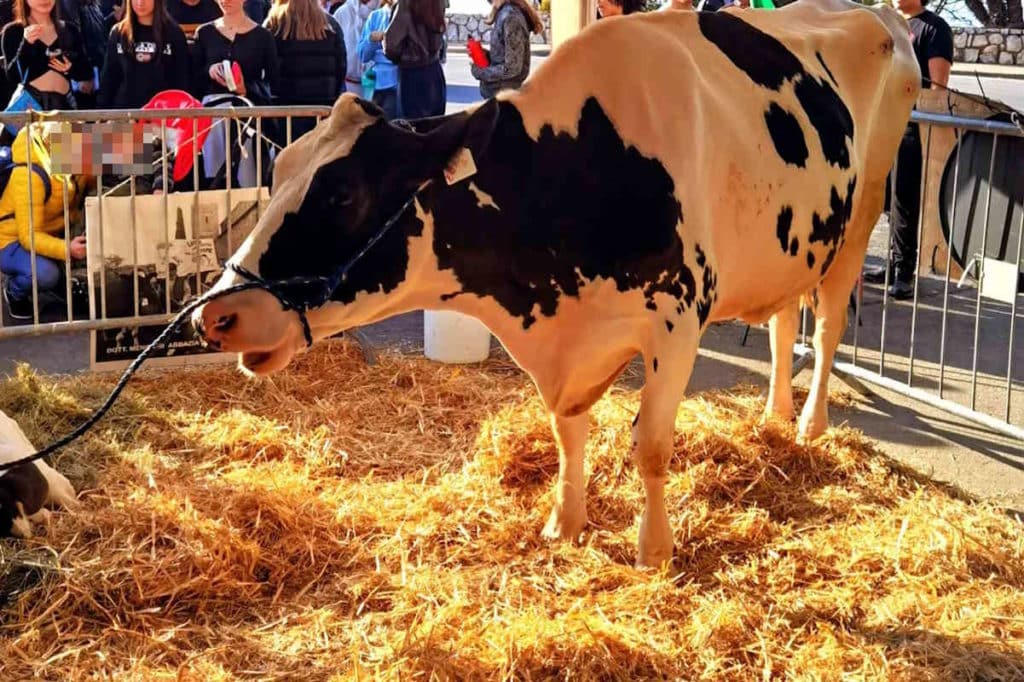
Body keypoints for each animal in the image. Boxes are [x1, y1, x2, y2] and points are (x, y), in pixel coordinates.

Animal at [193, 0, 920, 569]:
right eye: (278, 166)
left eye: (343, 193)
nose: (214, 316)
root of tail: (878, 16)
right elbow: (568, 431)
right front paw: (563, 525)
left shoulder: (678, 319)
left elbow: (651, 446)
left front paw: (654, 552)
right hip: (792, 245)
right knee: (781, 323)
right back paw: (772, 417)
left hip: (861, 216)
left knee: (826, 330)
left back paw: (809, 426)